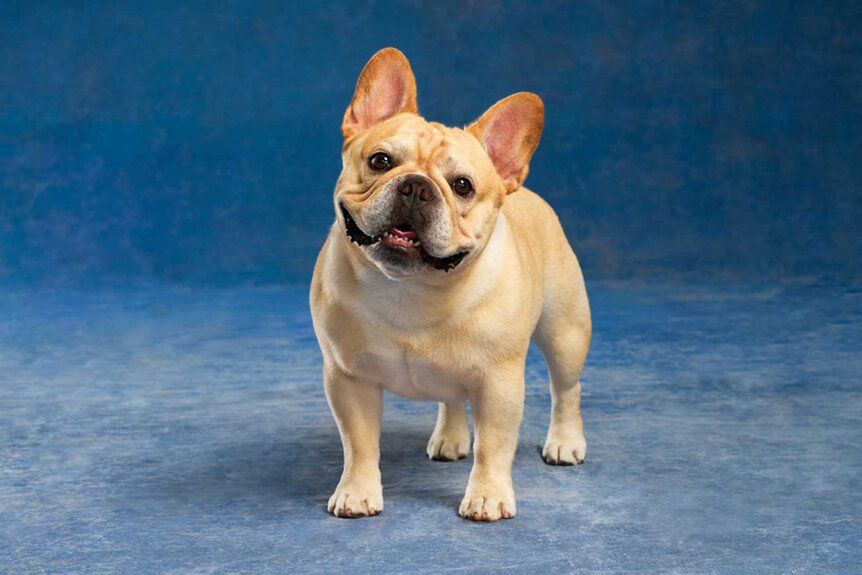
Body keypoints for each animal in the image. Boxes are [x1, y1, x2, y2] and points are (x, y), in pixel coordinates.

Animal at [312, 48, 592, 520]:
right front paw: (356, 492)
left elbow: (494, 446)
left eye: (462, 186)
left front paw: (488, 496)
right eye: (380, 161)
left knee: (566, 388)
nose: (416, 186)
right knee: (451, 395)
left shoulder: (499, 384)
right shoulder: (348, 378)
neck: (411, 288)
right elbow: (359, 443)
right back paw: (451, 437)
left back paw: (565, 441)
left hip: (565, 333)